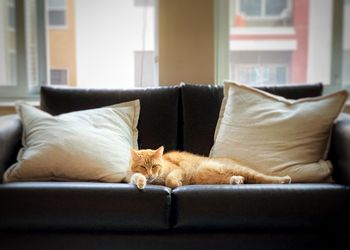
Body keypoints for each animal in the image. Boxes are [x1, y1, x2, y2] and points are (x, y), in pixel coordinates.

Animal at [124, 146, 292, 189]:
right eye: (143, 167)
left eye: (154, 166)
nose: (150, 175)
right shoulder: (132, 177)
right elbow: (137, 178)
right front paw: (142, 183)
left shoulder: (179, 170)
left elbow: (170, 180)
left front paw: (176, 183)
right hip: (207, 176)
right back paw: (237, 180)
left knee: (263, 177)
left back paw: (284, 179)